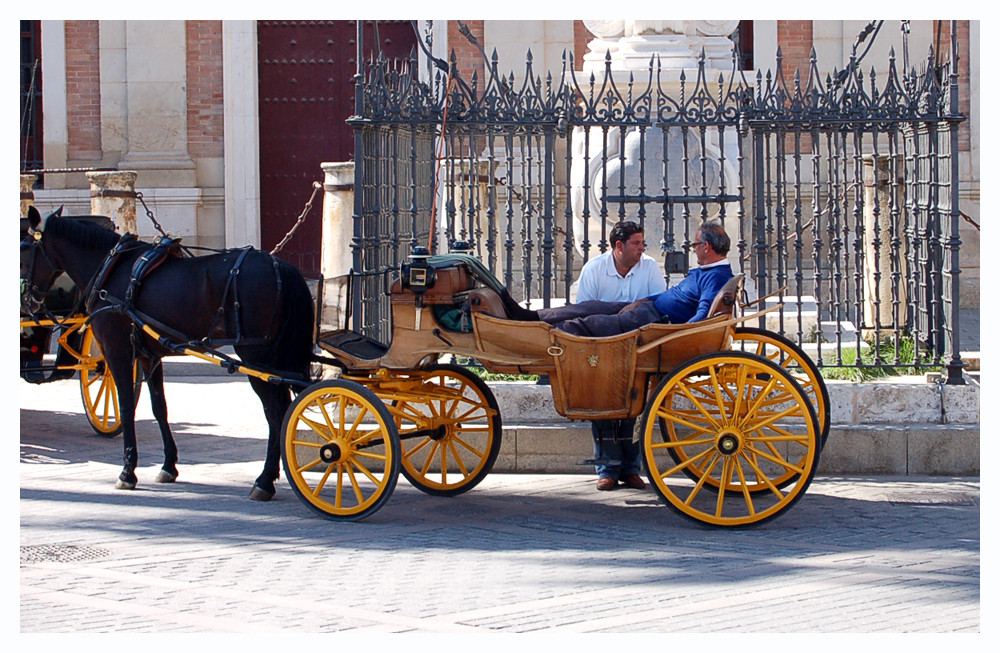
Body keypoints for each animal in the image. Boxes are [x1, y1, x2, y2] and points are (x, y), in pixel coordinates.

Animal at [21, 206, 314, 496]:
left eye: (23, 247)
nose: (28, 300)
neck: (112, 269)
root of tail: (282, 268)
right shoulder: (149, 355)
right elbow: (159, 407)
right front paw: (169, 466)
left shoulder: (117, 349)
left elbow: (126, 406)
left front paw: (127, 470)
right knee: (283, 409)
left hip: (256, 356)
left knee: (276, 413)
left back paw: (265, 480)